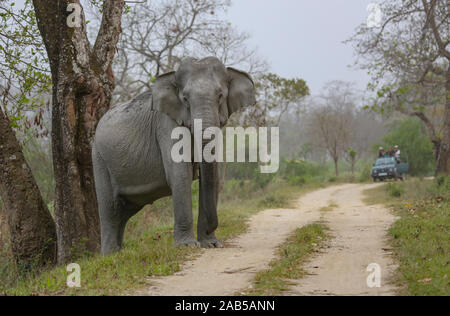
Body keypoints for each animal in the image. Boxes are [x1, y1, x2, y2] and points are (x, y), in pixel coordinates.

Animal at [91, 56, 256, 254]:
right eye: (185, 99)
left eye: (220, 96)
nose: (212, 230)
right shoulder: (166, 125)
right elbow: (180, 175)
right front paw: (187, 246)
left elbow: (211, 177)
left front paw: (211, 244)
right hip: (99, 158)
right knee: (111, 208)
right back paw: (110, 255)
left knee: (124, 211)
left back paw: (118, 253)